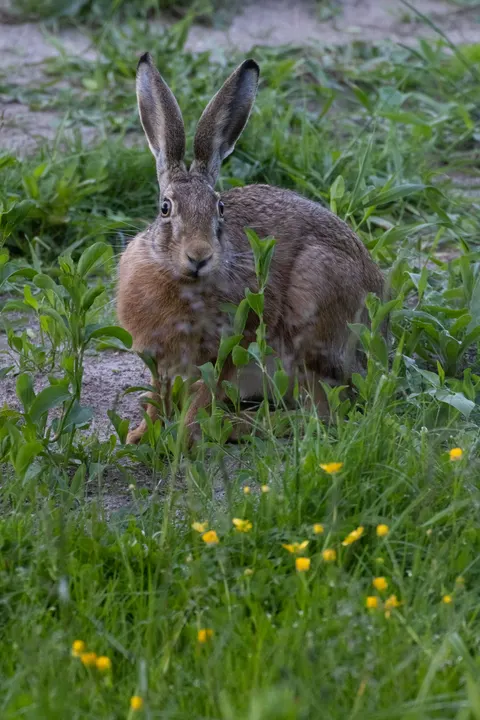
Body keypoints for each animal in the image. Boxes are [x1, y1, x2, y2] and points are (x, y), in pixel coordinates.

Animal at [117, 53, 384, 445]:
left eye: (219, 209)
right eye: (165, 208)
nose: (199, 256)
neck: (183, 282)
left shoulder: (231, 350)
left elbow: (202, 398)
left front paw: (183, 439)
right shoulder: (158, 359)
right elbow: (156, 396)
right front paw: (139, 437)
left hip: (313, 313)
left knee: (323, 412)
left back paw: (239, 425)